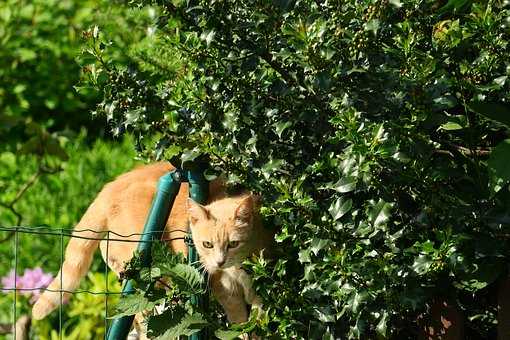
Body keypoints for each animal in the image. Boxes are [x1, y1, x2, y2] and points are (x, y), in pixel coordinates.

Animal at [32, 162, 272, 332]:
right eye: (207, 244)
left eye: (233, 244)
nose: (219, 262)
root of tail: (112, 185)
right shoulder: (227, 293)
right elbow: (241, 326)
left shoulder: (260, 292)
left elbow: (258, 323)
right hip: (147, 271)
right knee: (140, 316)